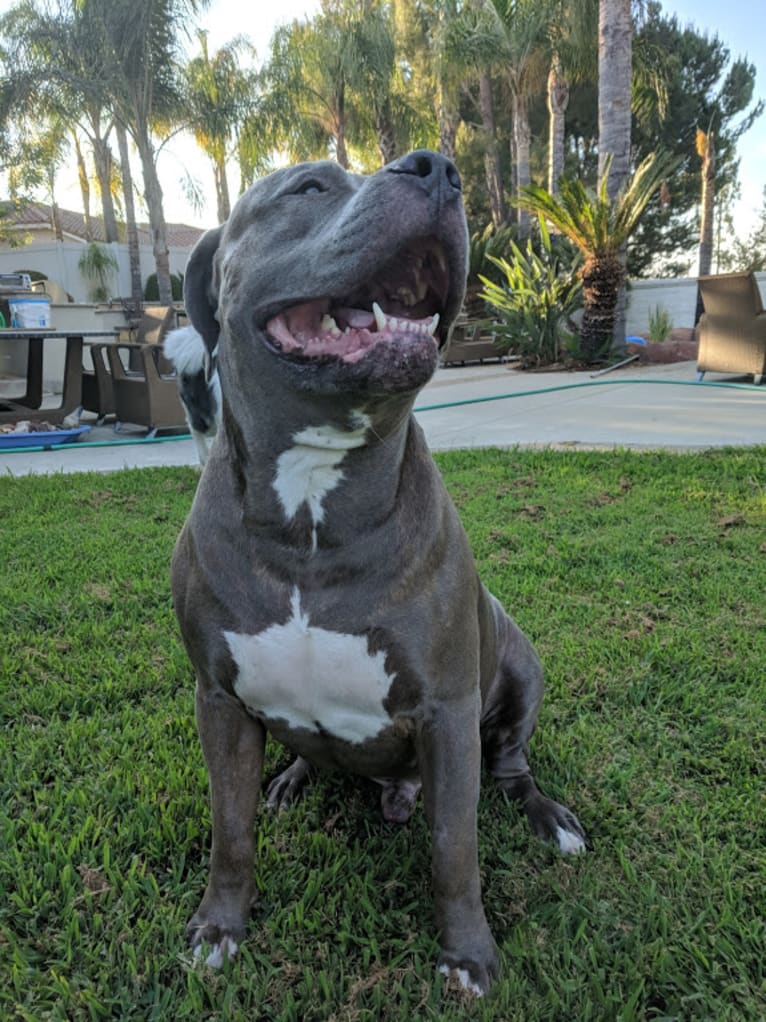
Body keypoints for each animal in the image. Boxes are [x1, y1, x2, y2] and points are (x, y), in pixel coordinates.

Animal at [170, 148, 584, 993]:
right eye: (308, 187)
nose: (439, 168)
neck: (312, 515)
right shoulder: (218, 700)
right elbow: (230, 832)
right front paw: (219, 929)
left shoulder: (447, 712)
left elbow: (455, 850)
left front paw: (467, 957)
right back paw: (292, 779)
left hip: (520, 668)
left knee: (511, 766)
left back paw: (547, 817)